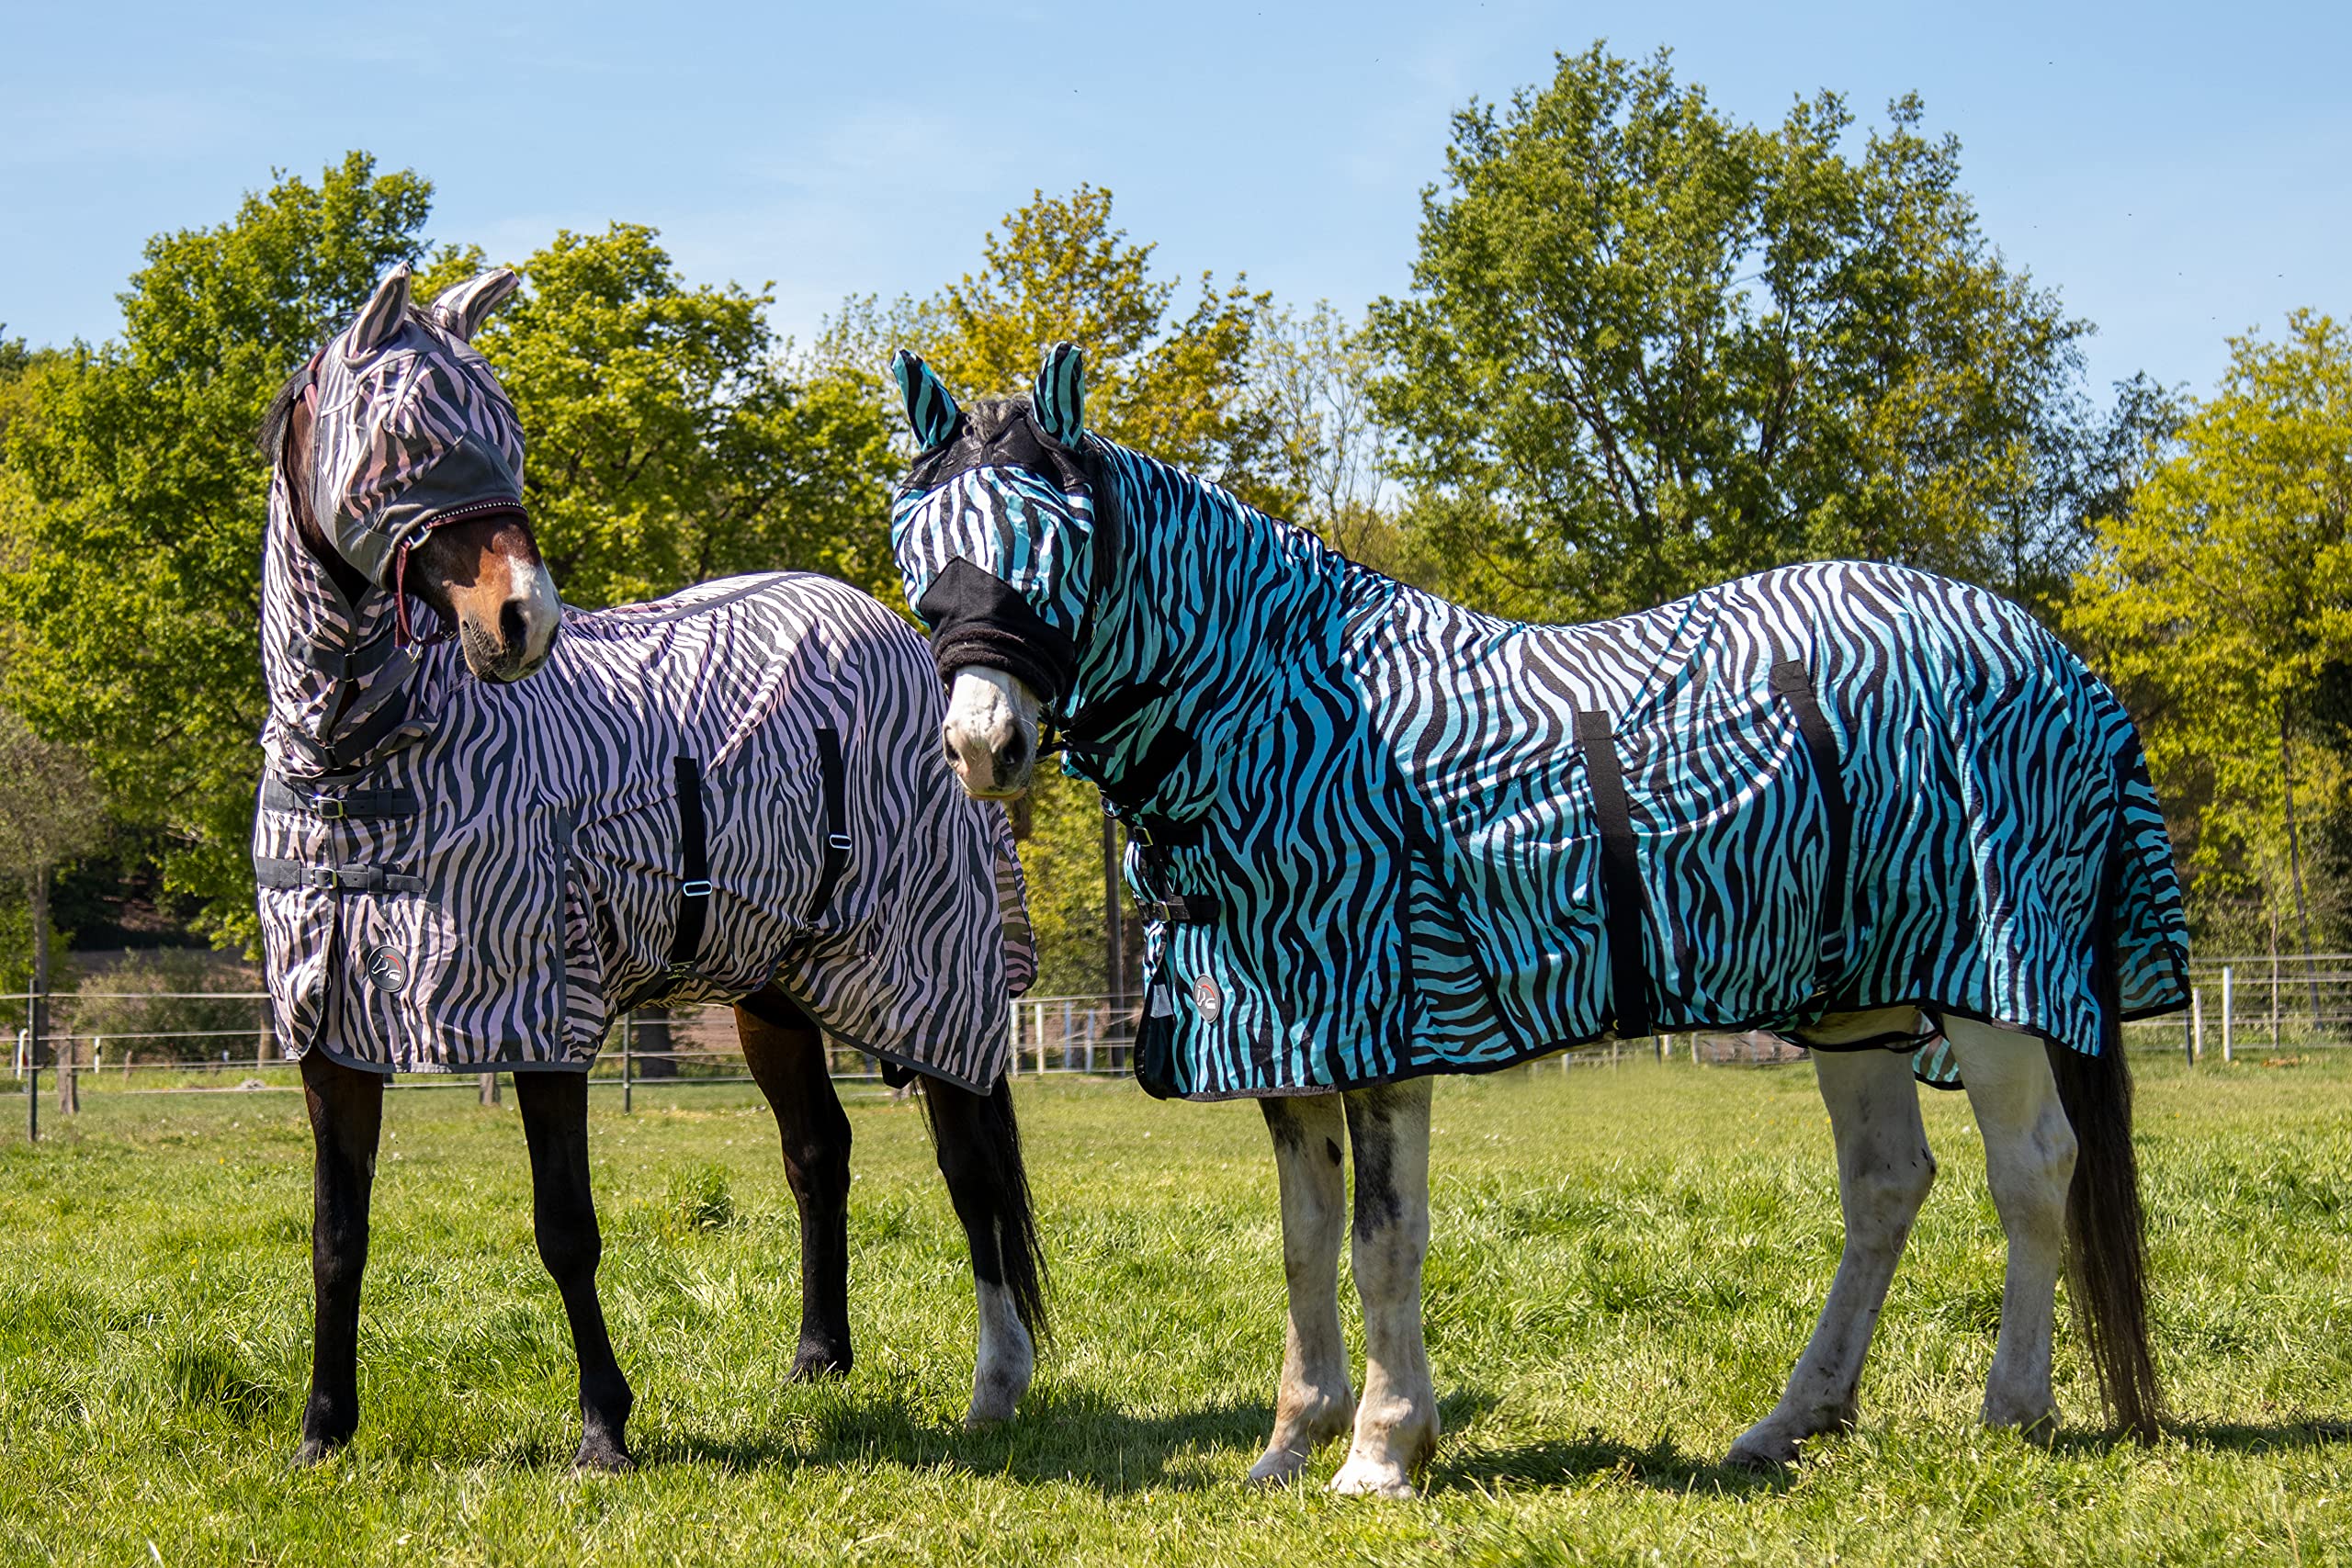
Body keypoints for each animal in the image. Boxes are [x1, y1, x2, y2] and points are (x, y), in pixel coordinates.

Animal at [253, 263, 1045, 1470]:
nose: (522, 619)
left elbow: (565, 1231)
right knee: (818, 1151)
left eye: (508, 434)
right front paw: (322, 1436)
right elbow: (337, 1235)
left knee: (971, 1177)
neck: (362, 762)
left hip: (937, 975)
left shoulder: (545, 1013)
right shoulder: (328, 1028)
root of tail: (916, 647)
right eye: (408, 440)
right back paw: (819, 1358)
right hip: (774, 987)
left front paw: (602, 1428)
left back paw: (996, 1383)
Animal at [882, 341, 2191, 1497]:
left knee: (2033, 1171)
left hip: (1994, 983)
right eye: (918, 553)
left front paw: (1382, 1453)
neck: (1288, 716)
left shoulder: (1385, 1029)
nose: (982, 748)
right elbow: (1305, 1241)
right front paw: (1290, 1447)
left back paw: (2013, 1409)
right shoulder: (1281, 1039)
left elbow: (1382, 1241)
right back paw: (1790, 1422)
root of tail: (2050, 655)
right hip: (1855, 999)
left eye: (1057, 540)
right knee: (1884, 1183)